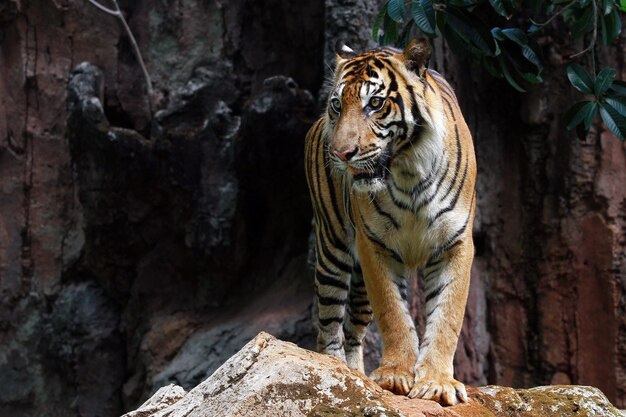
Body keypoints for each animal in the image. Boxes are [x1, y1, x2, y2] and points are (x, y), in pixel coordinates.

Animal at [302, 38, 472, 404]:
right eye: (337, 105)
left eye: (376, 103)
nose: (340, 154)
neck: (408, 170)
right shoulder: (374, 246)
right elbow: (393, 313)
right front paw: (395, 376)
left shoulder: (455, 243)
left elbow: (446, 316)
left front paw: (437, 382)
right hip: (333, 249)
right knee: (330, 327)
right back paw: (334, 370)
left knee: (353, 330)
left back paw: (355, 374)